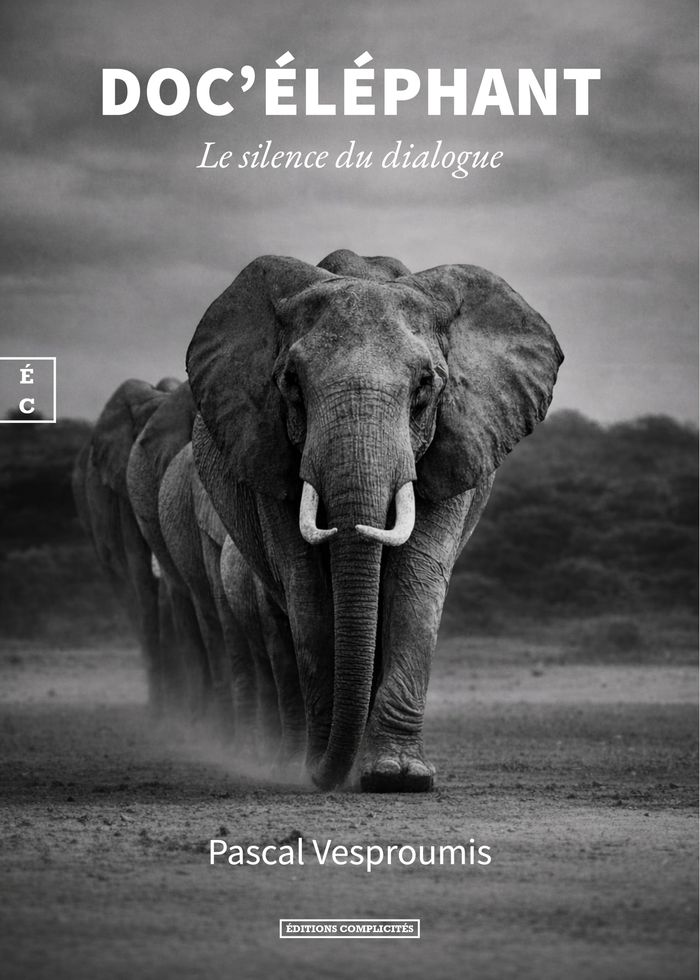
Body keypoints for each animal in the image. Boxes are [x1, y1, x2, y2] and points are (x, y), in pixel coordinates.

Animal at [186, 248, 563, 792]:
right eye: (291, 386)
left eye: (425, 386)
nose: (322, 774)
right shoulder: (267, 451)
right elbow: (308, 591)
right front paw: (323, 766)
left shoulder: (456, 446)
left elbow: (415, 582)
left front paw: (398, 777)